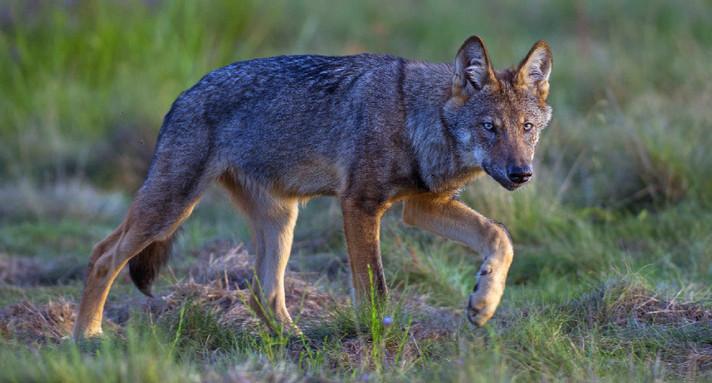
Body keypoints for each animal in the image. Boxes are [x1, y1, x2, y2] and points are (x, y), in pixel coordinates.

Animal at [72, 34, 552, 338]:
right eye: (489, 127)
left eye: (526, 128)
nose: (521, 174)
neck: (415, 118)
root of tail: (182, 96)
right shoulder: (360, 205)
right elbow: (376, 290)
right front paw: (377, 343)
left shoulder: (421, 206)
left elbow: (499, 236)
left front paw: (484, 303)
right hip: (172, 209)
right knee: (102, 255)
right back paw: (87, 337)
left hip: (281, 220)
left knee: (263, 294)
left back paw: (296, 342)